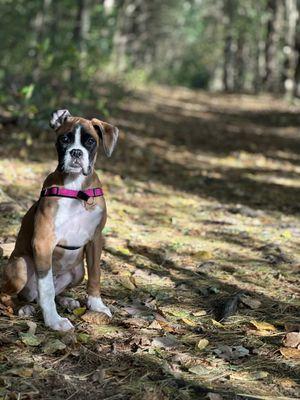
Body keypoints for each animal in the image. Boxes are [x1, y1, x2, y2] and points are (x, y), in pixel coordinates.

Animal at [1, 109, 118, 332]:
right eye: (65, 139)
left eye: (90, 141)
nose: (76, 153)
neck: (76, 188)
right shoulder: (43, 242)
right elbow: (46, 288)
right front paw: (53, 320)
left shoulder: (95, 239)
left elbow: (96, 274)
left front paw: (97, 306)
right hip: (21, 265)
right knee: (9, 294)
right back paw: (22, 307)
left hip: (78, 271)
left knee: (54, 291)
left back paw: (66, 300)